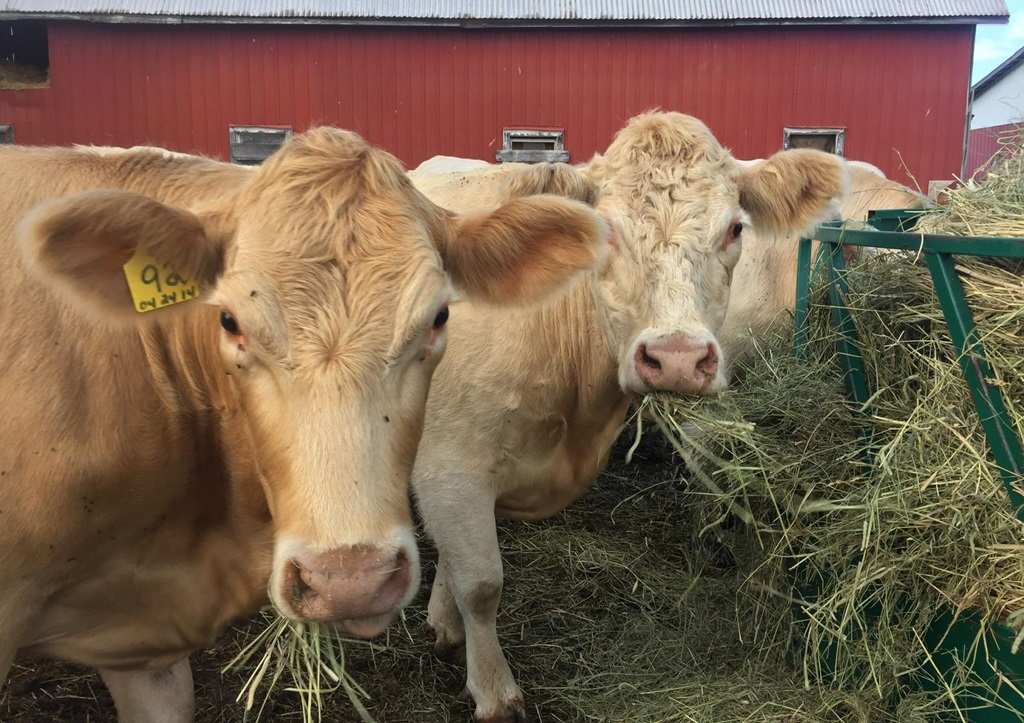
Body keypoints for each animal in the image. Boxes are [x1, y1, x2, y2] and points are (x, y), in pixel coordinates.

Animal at [407, 111, 852, 722]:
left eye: (736, 229)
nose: (678, 358)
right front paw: (496, 692)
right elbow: (481, 582)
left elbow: (456, 566)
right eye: (607, 229)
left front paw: (446, 630)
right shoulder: (449, 463)